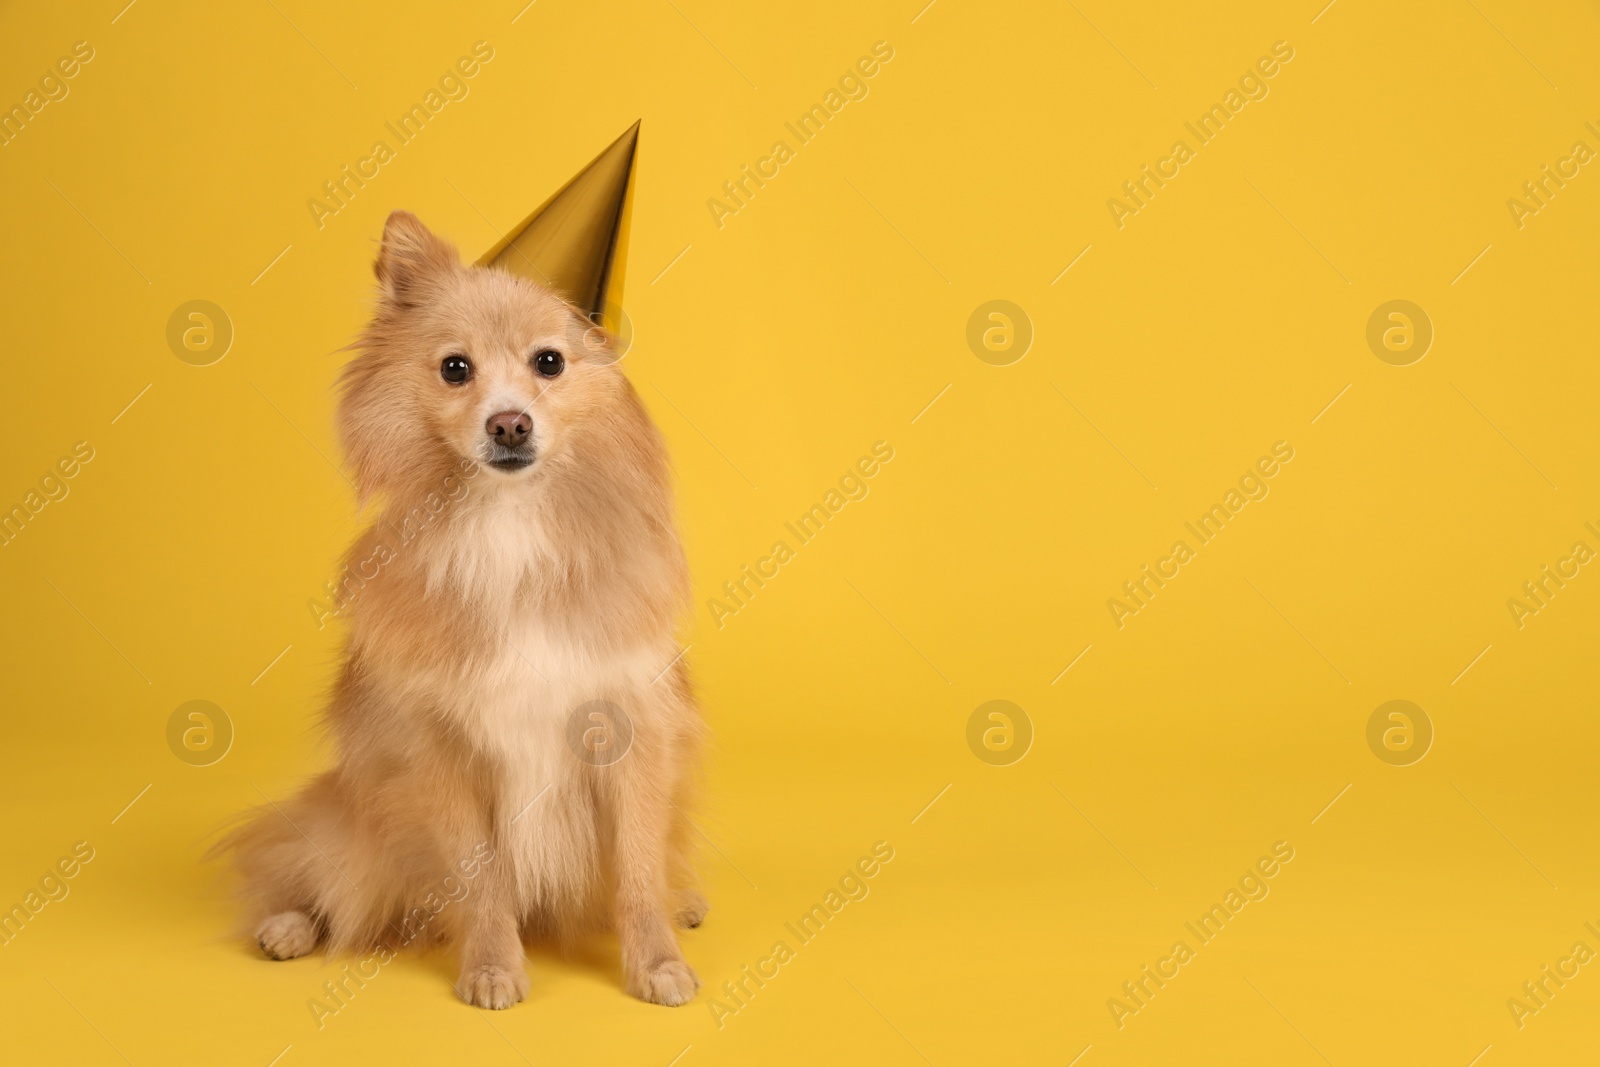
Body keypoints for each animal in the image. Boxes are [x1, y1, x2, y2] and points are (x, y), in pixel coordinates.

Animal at [216, 207, 704, 1011]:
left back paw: (686, 899)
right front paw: (492, 966)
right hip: (354, 827)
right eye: (454, 369)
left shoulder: (626, 730)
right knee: (312, 872)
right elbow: (481, 880)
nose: (509, 424)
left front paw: (657, 960)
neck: (508, 521)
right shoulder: (441, 746)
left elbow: (636, 869)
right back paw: (287, 926)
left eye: (550, 362)